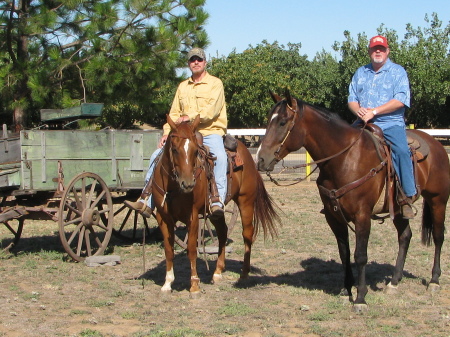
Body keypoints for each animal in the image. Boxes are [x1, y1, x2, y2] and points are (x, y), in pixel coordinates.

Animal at [152, 115, 278, 294]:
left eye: (195, 151)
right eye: (174, 149)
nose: (188, 184)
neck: (172, 187)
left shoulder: (192, 217)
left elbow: (192, 249)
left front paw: (194, 284)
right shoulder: (163, 218)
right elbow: (169, 251)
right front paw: (167, 283)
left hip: (245, 201)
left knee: (247, 234)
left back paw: (244, 274)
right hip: (215, 213)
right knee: (222, 232)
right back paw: (217, 271)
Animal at [256, 91, 450, 310]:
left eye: (282, 122)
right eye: (269, 120)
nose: (261, 159)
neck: (345, 158)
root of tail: (435, 144)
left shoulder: (362, 215)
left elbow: (360, 255)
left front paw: (360, 297)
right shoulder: (333, 216)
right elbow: (344, 253)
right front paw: (346, 290)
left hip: (438, 200)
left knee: (438, 236)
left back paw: (434, 280)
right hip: (399, 209)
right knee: (405, 236)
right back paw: (394, 281)